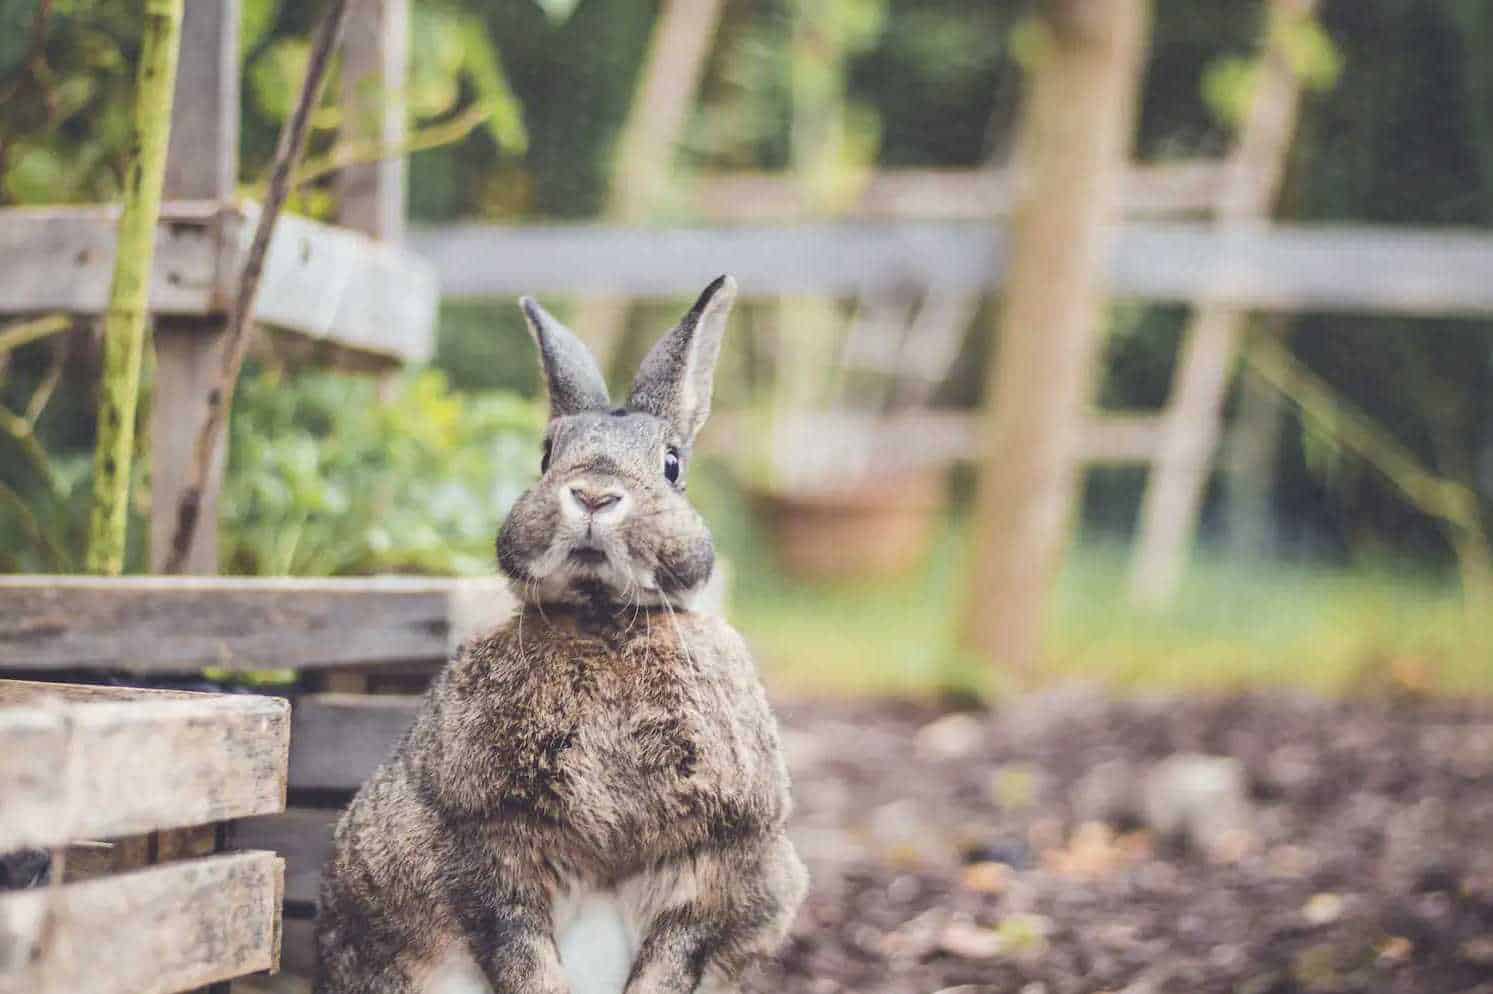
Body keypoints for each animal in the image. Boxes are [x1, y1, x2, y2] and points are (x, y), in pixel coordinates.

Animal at [313, 273, 806, 991]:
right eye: (546, 454)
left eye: (672, 465)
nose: (594, 495)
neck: (603, 621)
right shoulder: (490, 844)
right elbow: (521, 954)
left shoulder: (714, 863)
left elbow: (670, 959)